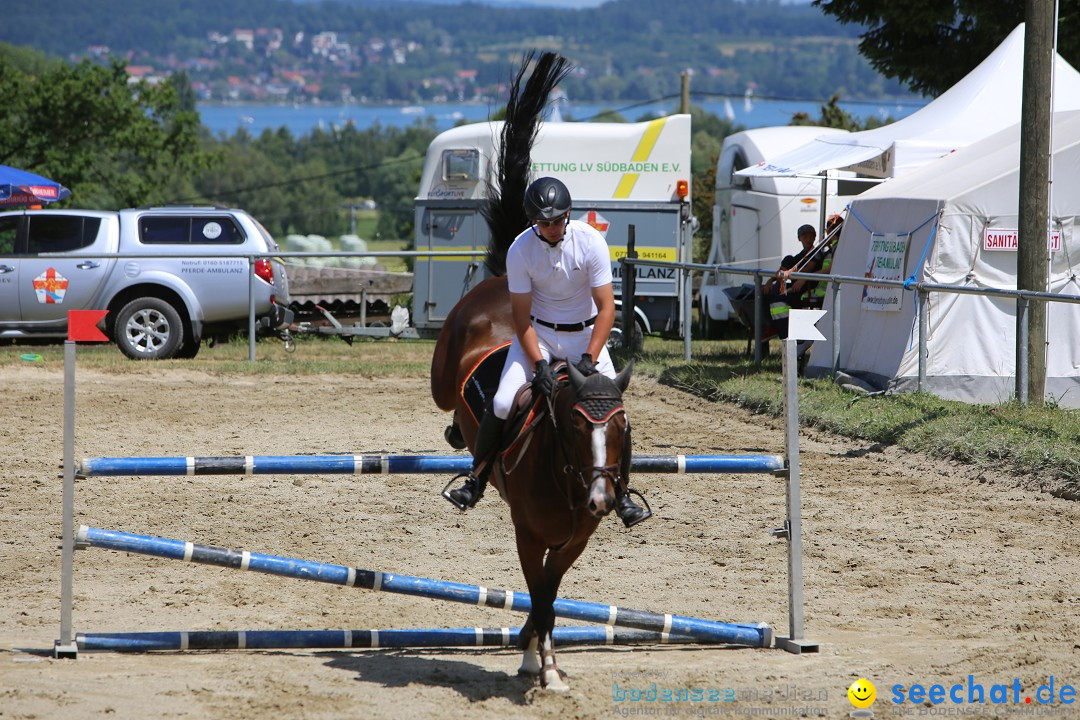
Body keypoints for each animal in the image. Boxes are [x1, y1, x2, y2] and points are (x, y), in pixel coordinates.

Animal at [429, 274, 630, 690]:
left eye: (621, 426)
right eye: (577, 424)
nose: (601, 500)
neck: (566, 478)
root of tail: (500, 282)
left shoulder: (573, 543)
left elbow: (546, 599)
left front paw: (538, 657)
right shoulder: (529, 537)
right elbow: (541, 602)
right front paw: (543, 667)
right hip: (443, 379)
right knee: (450, 402)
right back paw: (456, 437)